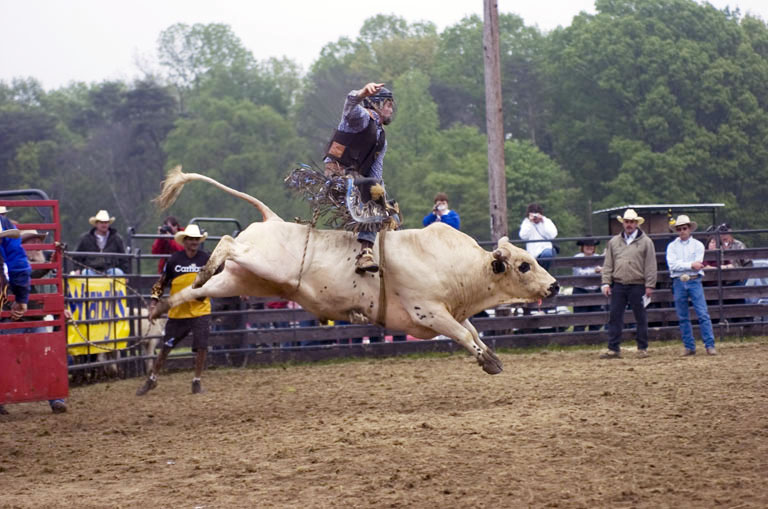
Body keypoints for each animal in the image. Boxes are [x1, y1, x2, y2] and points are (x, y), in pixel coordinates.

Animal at [152, 169, 560, 372]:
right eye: (524, 265)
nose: (555, 286)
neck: (456, 265)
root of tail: (272, 218)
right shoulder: (428, 311)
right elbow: (461, 333)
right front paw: (487, 361)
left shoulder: (453, 312)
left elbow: (472, 330)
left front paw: (489, 355)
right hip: (261, 261)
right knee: (226, 240)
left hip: (247, 277)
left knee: (198, 290)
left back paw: (163, 301)